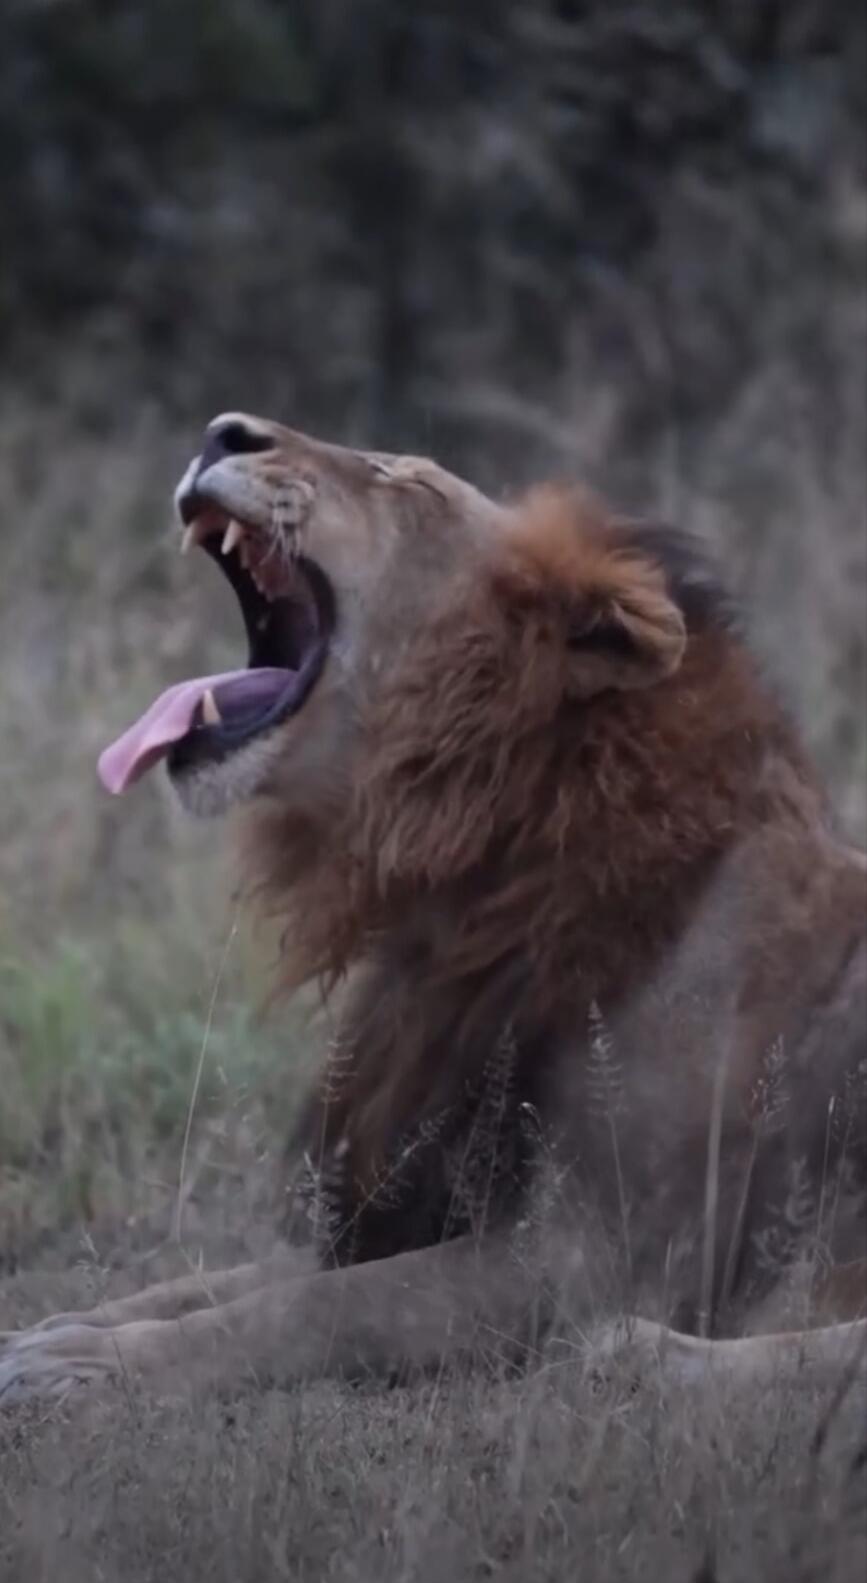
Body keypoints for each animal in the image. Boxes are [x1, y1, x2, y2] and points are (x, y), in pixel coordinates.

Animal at [1, 412, 865, 1408]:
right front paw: (55, 1330)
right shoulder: (404, 1201)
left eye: (407, 484)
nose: (223, 430)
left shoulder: (592, 1256)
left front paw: (83, 1364)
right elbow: (216, 1281)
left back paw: (634, 1355)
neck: (469, 874)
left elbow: (305, 1310)